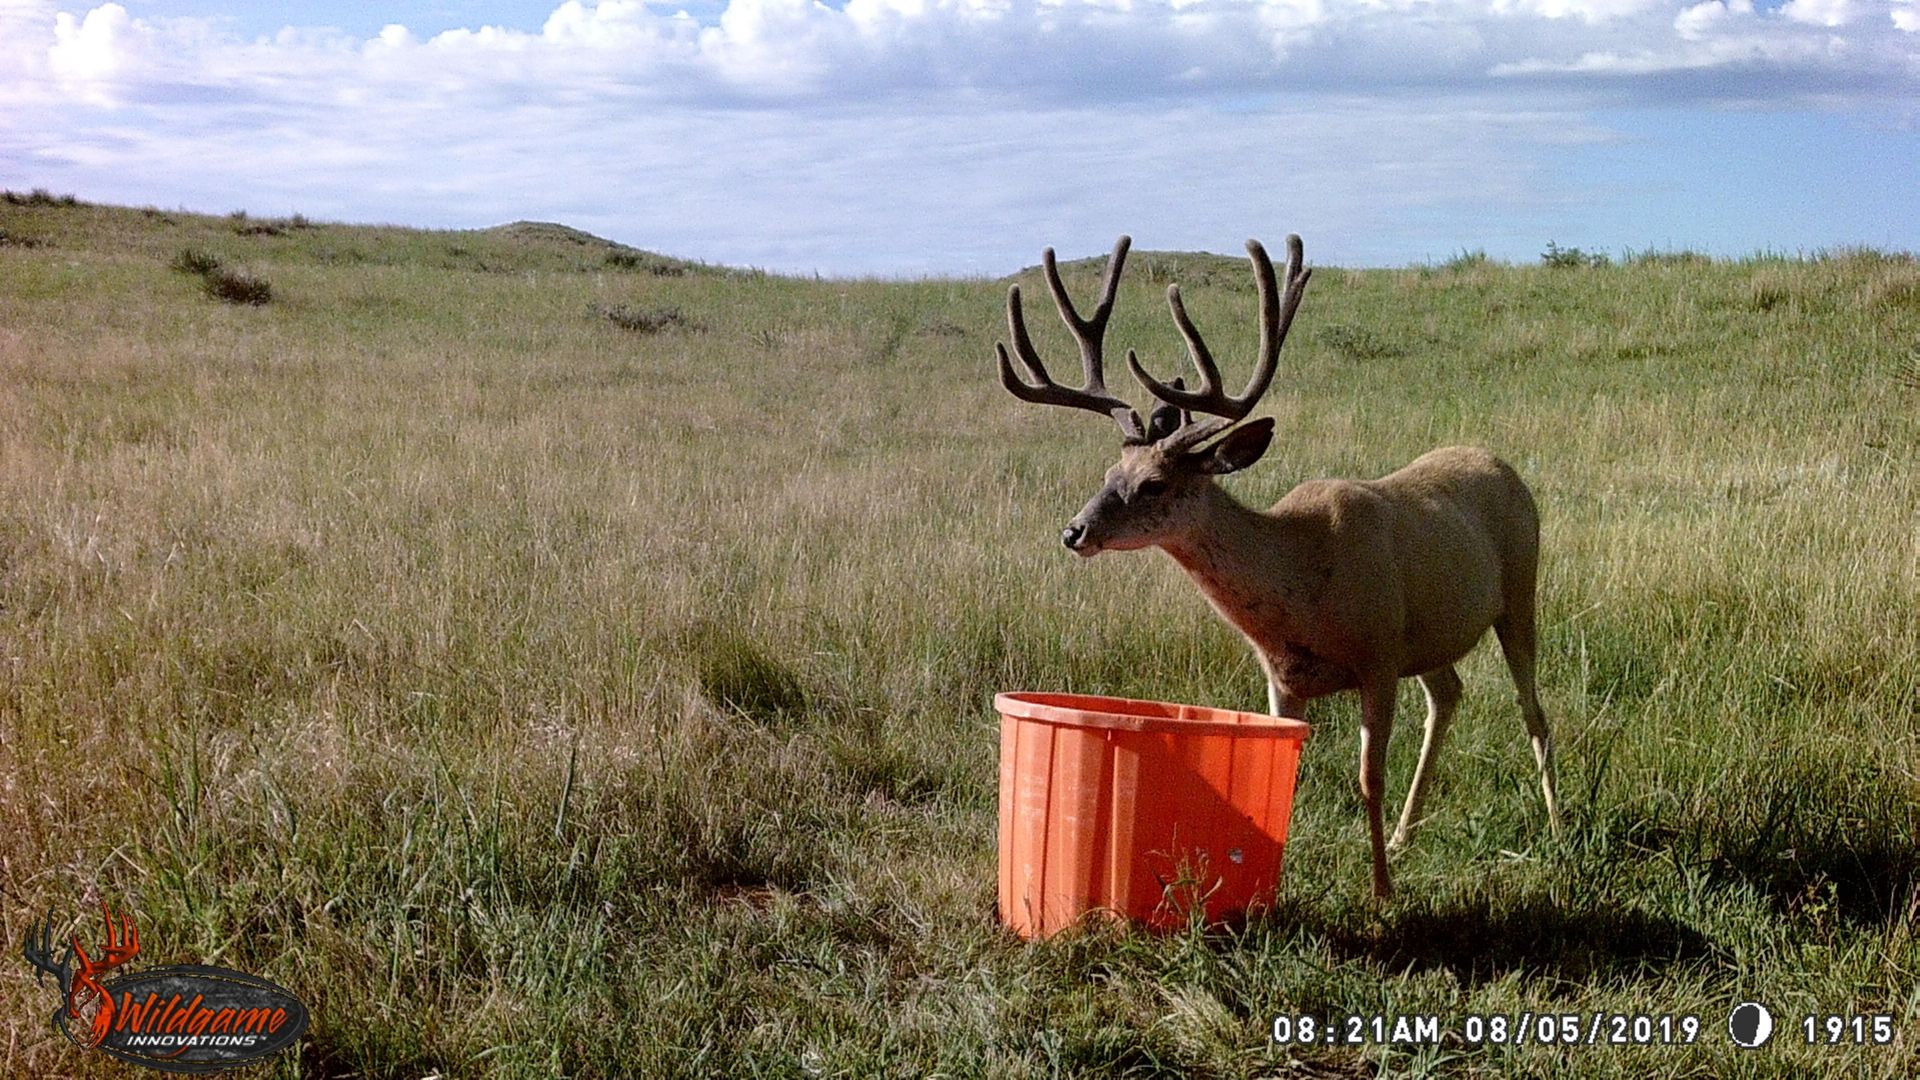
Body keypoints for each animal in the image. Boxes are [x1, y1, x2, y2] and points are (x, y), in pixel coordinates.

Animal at [995, 234, 1561, 899]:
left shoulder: (1378, 655)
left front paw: (1382, 891)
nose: (1073, 531)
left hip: (1519, 590)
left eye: (1155, 484)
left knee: (1532, 709)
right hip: (1430, 635)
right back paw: (1406, 834)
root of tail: (1502, 463)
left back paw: (1556, 830)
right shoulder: (1284, 679)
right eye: (1110, 473)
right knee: (1448, 694)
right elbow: (1284, 776)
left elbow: (1368, 777)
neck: (1303, 580)